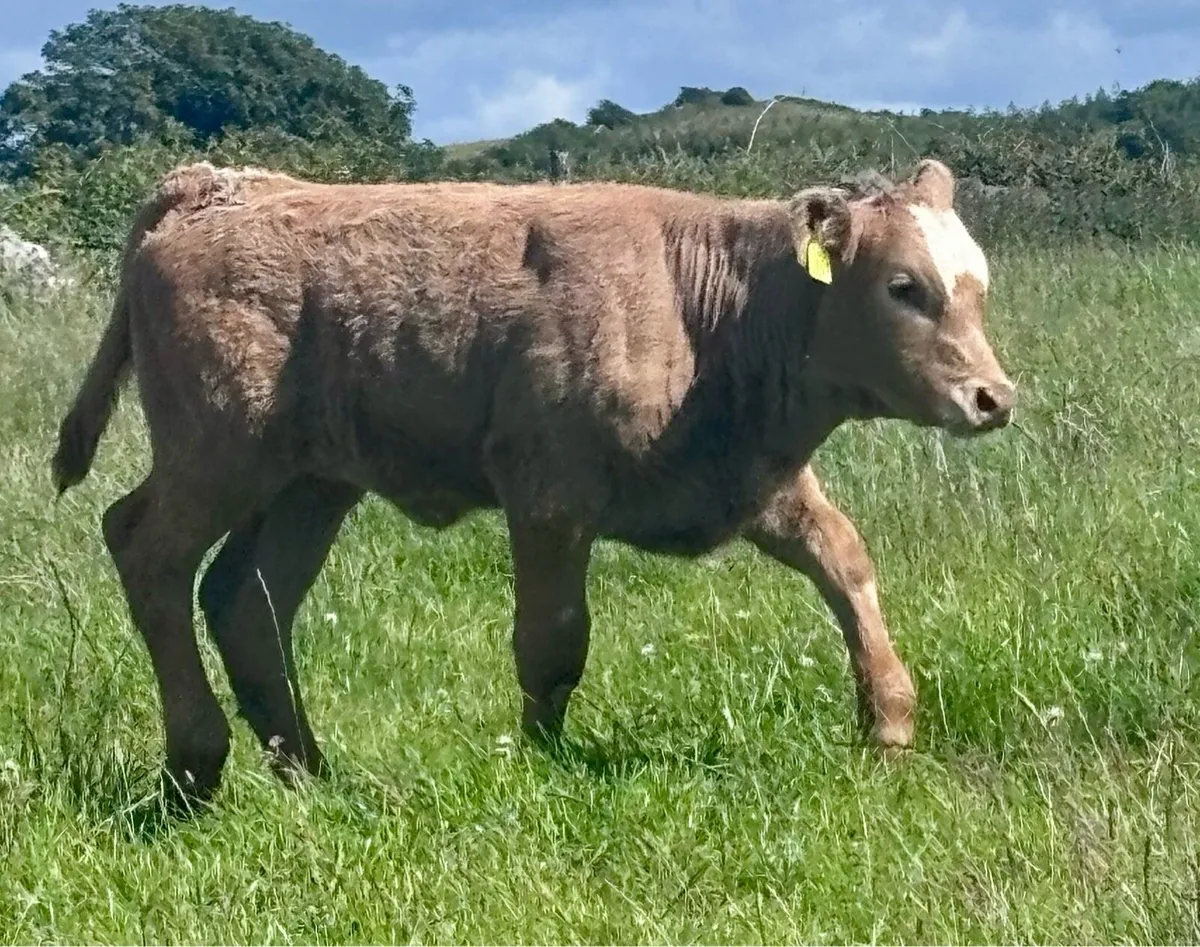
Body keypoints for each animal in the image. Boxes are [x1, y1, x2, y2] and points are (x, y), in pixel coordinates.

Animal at [51, 158, 1015, 808]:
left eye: (978, 285)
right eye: (903, 287)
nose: (992, 397)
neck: (705, 303)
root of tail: (217, 184)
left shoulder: (756, 480)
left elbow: (844, 561)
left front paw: (889, 721)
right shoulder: (550, 494)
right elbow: (553, 640)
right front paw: (547, 759)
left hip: (309, 483)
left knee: (246, 597)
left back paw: (312, 774)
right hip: (215, 454)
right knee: (146, 549)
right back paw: (196, 761)